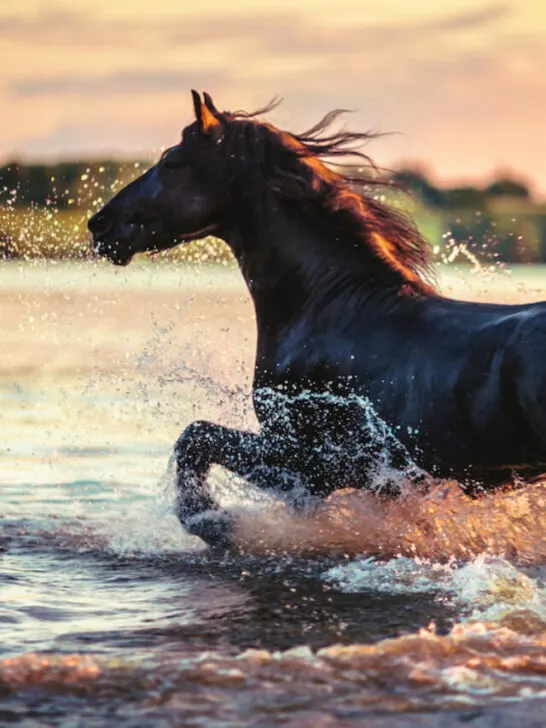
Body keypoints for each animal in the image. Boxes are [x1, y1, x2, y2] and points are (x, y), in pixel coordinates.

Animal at [88, 90, 546, 550]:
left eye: (172, 162)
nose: (99, 225)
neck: (328, 306)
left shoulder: (310, 464)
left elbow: (195, 438)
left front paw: (215, 523)